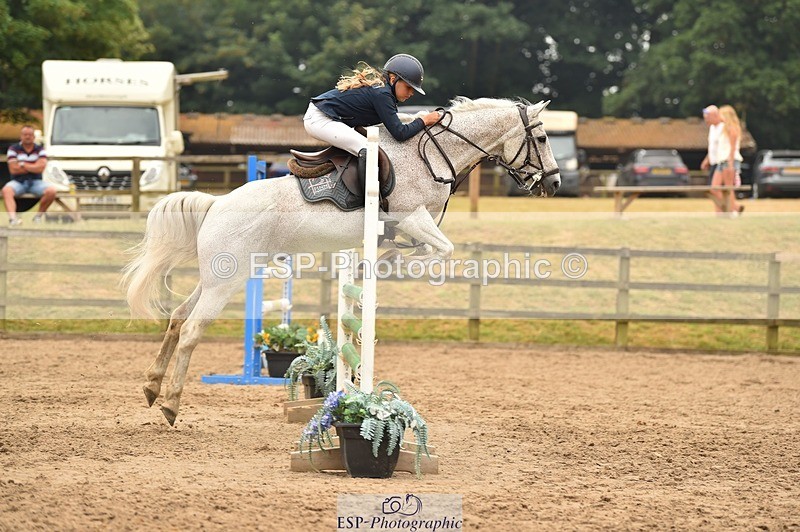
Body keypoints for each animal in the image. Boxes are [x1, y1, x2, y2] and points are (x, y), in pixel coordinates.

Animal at [123, 96, 560, 425]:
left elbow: (425, 249)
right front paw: (384, 262)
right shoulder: (413, 217)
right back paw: (170, 403)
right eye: (540, 137)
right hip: (227, 282)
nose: (555, 183)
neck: (433, 156)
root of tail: (217, 203)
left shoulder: (411, 224)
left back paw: (151, 387)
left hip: (218, 276)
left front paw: (382, 260)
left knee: (178, 317)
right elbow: (441, 249)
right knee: (192, 329)